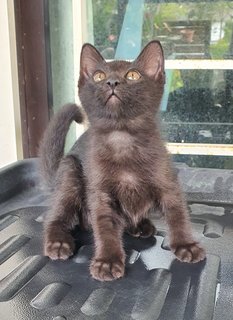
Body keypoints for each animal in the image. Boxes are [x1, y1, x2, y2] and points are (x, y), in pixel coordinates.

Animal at [40, 41, 206, 282]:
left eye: (133, 75)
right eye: (99, 76)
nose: (112, 82)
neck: (122, 138)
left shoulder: (168, 183)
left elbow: (178, 214)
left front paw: (186, 245)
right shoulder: (100, 194)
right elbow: (105, 226)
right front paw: (107, 261)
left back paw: (140, 226)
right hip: (70, 170)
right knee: (56, 217)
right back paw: (58, 242)